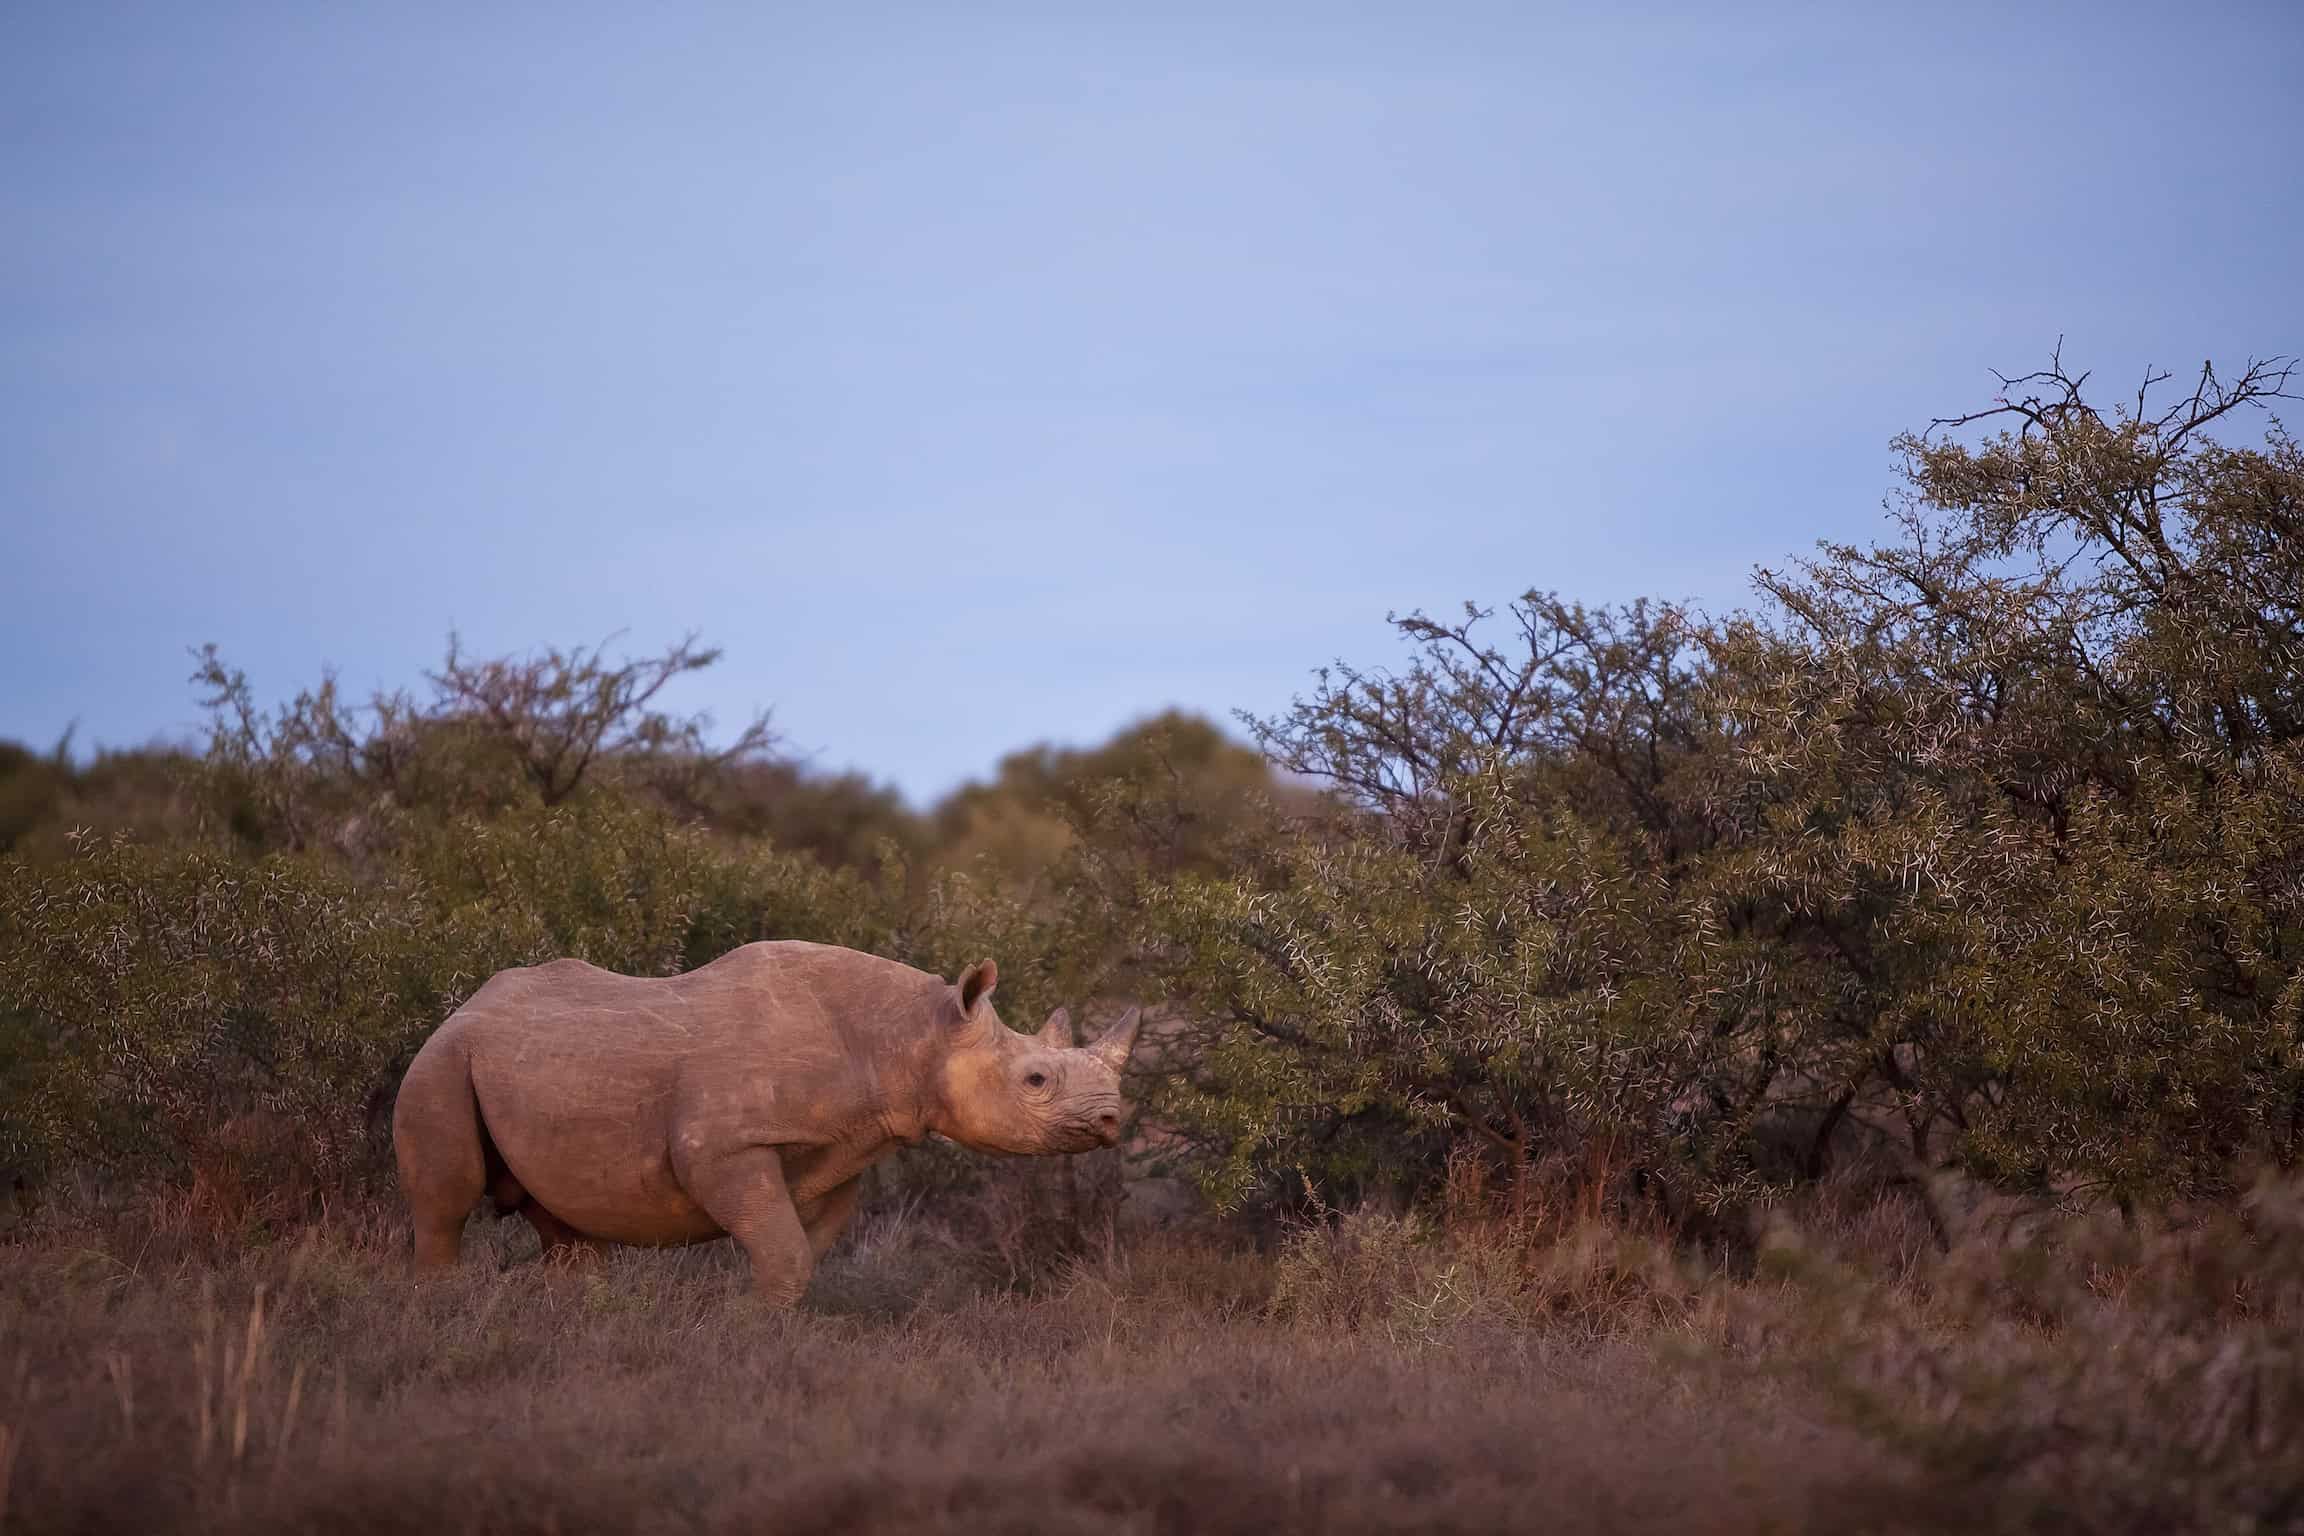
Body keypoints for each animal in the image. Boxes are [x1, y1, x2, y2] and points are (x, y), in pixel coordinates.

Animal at [392, 940, 1139, 1303]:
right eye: (1035, 1081)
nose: (1110, 1120)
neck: (912, 1034)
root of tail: (463, 1006)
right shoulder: (725, 1146)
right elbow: (783, 1250)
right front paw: (742, 1324)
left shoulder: (841, 1149)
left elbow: (802, 1251)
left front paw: (766, 1326)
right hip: (441, 1060)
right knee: (446, 1200)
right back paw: (441, 1307)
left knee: (566, 1225)